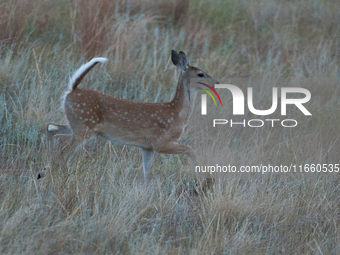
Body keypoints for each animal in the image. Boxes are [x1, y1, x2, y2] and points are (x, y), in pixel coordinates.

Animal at [36, 49, 218, 184]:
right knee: (63, 153)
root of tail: (71, 90)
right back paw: (60, 177)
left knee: (51, 127)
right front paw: (200, 183)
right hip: (84, 127)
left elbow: (147, 174)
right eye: (201, 74)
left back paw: (42, 172)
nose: (216, 82)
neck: (176, 113)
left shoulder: (147, 147)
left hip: (77, 124)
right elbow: (190, 149)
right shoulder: (160, 142)